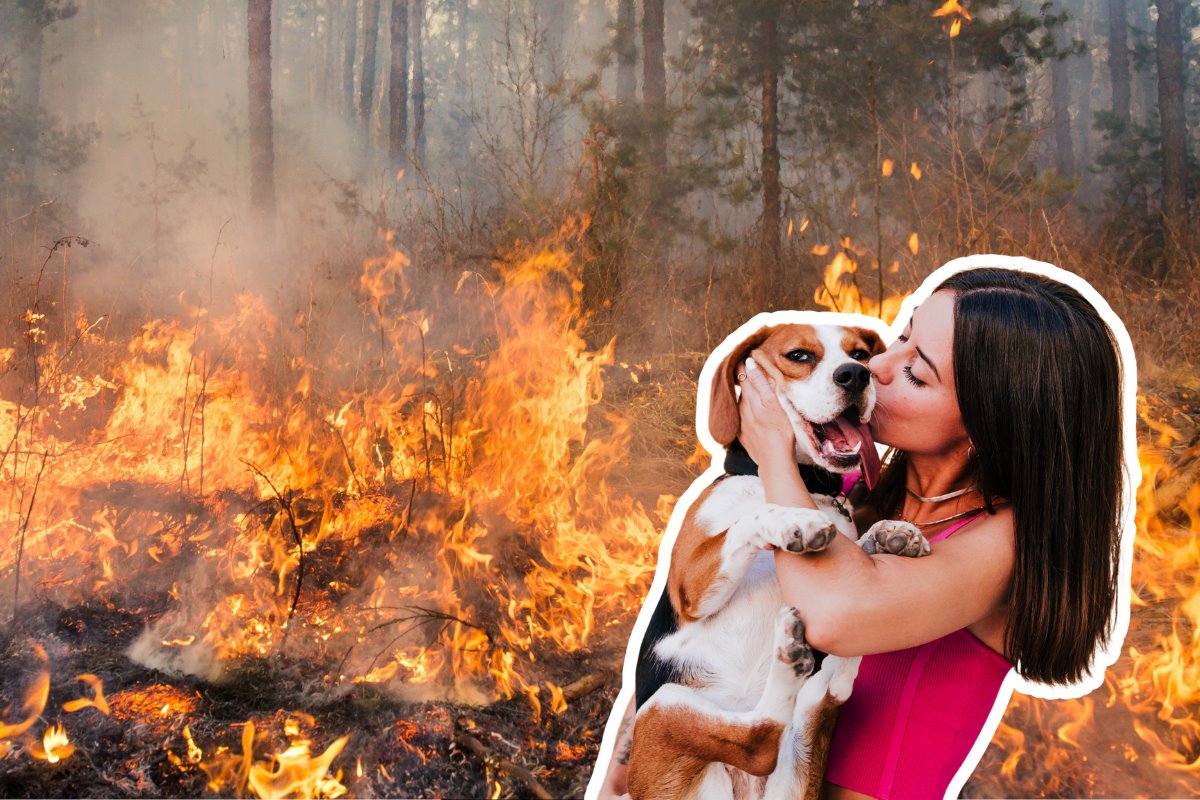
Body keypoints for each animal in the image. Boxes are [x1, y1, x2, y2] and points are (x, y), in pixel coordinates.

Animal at [624, 319, 931, 800]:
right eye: (799, 356)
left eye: (861, 354)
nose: (855, 376)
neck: (809, 485)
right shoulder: (688, 587)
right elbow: (747, 520)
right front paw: (794, 522)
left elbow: (852, 543)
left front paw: (890, 533)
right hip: (659, 712)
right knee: (758, 740)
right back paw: (790, 654)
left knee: (821, 696)